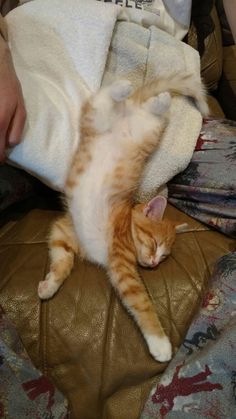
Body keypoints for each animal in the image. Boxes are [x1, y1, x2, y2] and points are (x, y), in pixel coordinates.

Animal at [37, 75, 207, 364]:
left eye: (164, 257)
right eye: (154, 244)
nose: (153, 263)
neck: (126, 225)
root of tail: (129, 110)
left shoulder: (64, 231)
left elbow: (62, 260)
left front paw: (50, 284)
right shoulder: (119, 261)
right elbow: (141, 302)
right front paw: (160, 343)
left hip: (149, 131)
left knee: (149, 112)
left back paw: (156, 99)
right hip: (97, 120)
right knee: (101, 100)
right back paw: (127, 89)